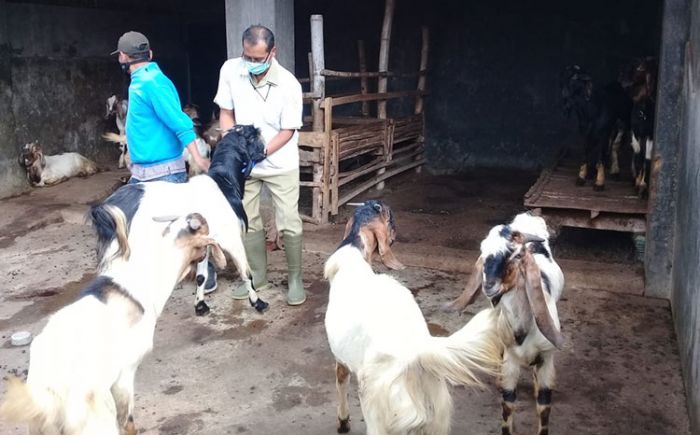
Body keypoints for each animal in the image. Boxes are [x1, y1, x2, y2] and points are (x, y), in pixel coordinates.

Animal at [93, 124, 268, 316]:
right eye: (252, 136)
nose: (266, 150)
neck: (223, 182)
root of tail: (105, 208)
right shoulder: (231, 239)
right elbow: (246, 272)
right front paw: (258, 303)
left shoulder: (205, 240)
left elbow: (201, 275)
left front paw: (200, 305)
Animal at [326, 203, 500, 434]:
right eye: (387, 218)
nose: (388, 209)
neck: (352, 254)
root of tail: (417, 351)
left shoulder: (340, 357)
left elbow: (340, 382)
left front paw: (343, 422)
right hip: (437, 414)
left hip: (377, 407)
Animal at [446, 213, 568, 435]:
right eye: (483, 252)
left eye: (517, 255)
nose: (489, 285)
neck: (523, 328)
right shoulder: (511, 360)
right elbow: (508, 404)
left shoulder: (547, 358)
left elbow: (544, 406)